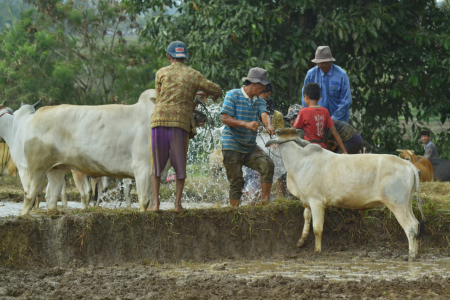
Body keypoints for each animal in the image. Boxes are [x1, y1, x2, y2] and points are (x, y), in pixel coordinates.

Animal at [268, 127, 426, 262]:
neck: (299, 161)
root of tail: (408, 165)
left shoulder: (316, 202)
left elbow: (317, 228)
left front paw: (317, 250)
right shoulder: (307, 200)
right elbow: (306, 217)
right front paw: (301, 241)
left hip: (397, 203)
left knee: (410, 227)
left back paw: (411, 256)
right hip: (407, 203)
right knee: (416, 224)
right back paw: (416, 253)